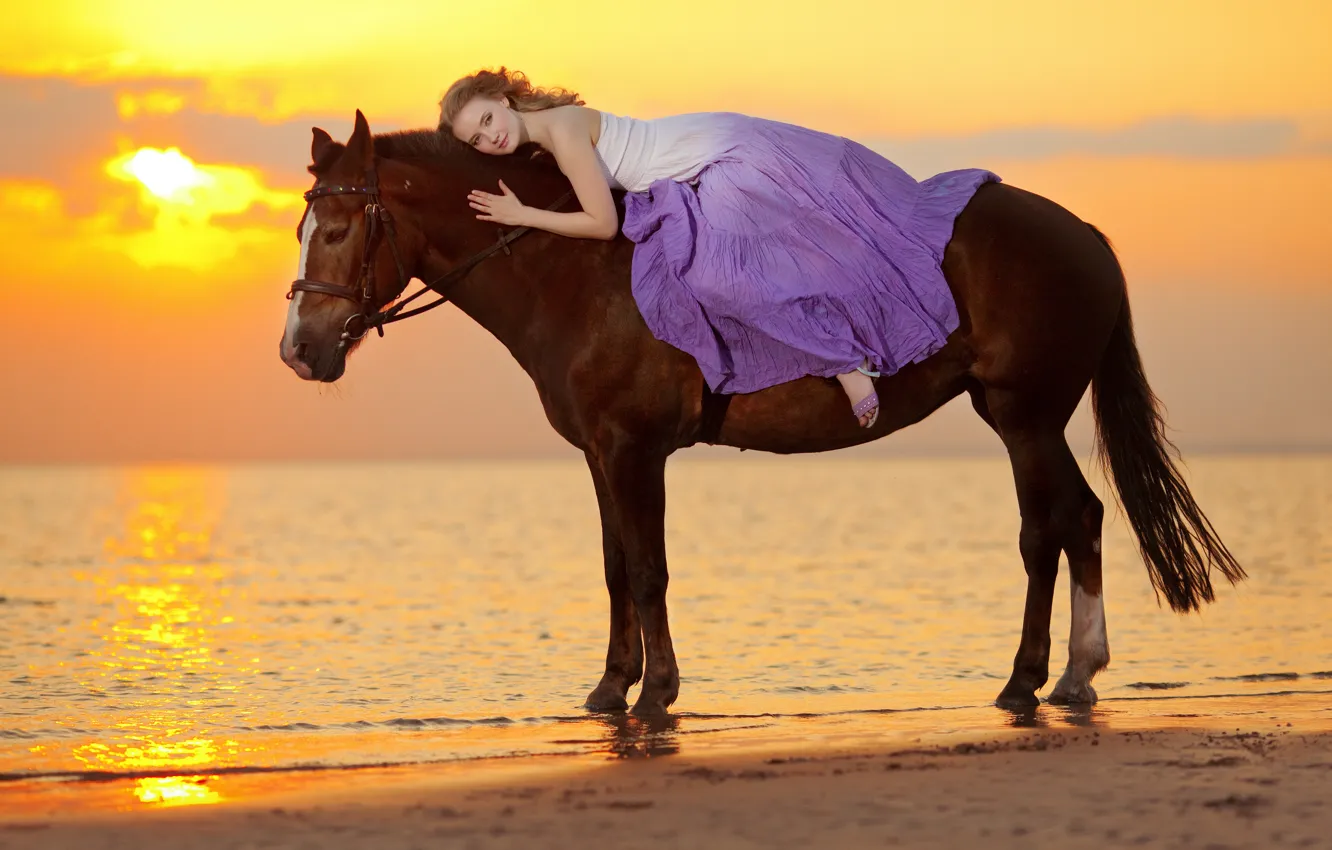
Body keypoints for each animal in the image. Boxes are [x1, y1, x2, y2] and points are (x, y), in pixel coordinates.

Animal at [279, 110, 1245, 715]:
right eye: (302, 226)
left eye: (339, 229)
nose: (298, 349)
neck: (576, 270)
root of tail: (1087, 236)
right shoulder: (599, 452)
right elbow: (615, 570)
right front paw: (610, 689)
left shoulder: (635, 450)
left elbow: (648, 571)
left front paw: (657, 693)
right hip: (1021, 419)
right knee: (1066, 523)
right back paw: (1051, 677)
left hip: (1026, 416)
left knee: (1057, 526)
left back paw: (1050, 677)